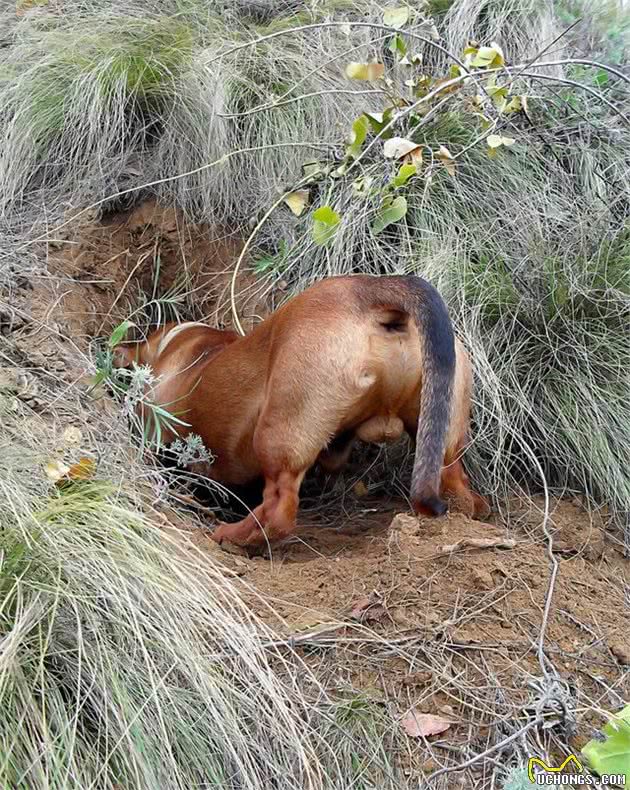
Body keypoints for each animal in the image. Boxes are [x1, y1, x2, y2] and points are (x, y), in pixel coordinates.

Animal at [115, 276, 488, 548]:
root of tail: (367, 289)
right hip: (445, 435)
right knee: (456, 484)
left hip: (278, 435)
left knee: (279, 510)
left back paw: (237, 537)